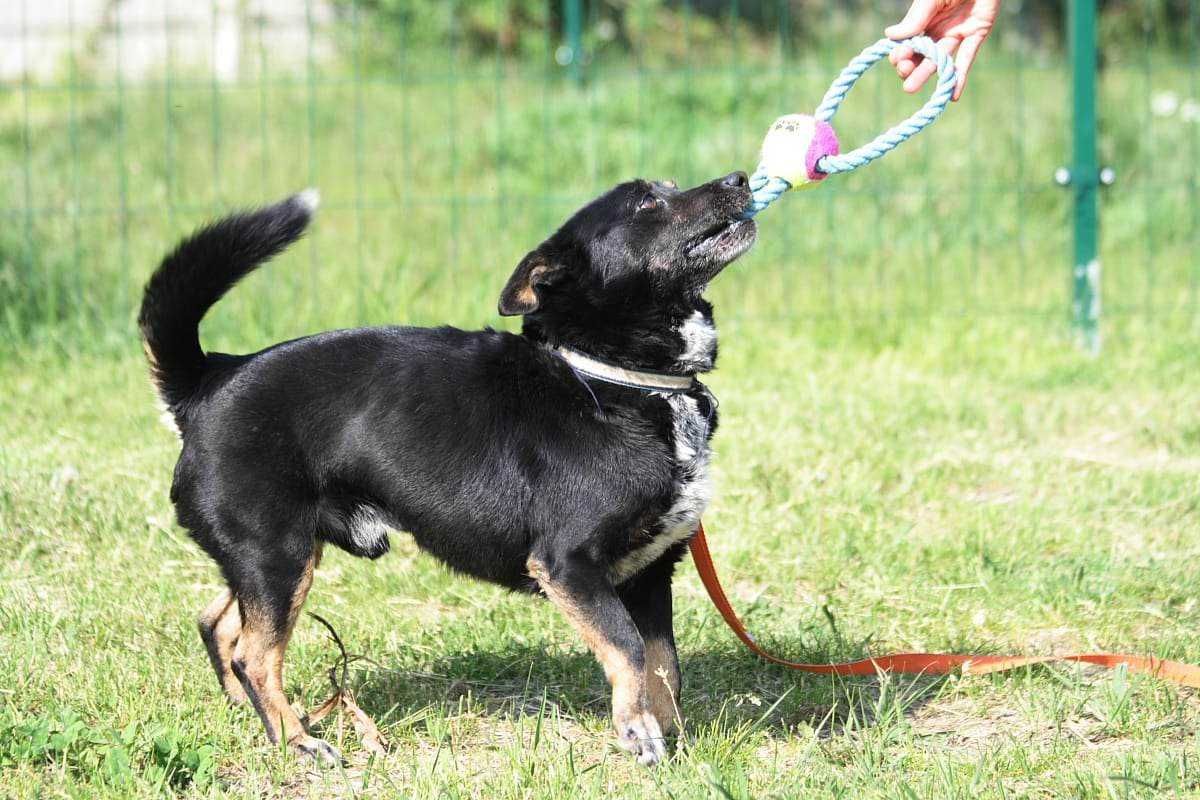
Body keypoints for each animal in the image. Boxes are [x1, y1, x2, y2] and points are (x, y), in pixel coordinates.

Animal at [140, 173, 753, 762]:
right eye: (647, 204)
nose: (740, 178)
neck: (609, 377)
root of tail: (208, 379)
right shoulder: (569, 564)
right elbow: (627, 647)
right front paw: (636, 733)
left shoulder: (652, 570)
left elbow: (665, 667)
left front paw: (671, 741)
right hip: (276, 554)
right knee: (255, 654)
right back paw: (297, 741)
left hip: (278, 555)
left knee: (218, 623)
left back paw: (254, 719)